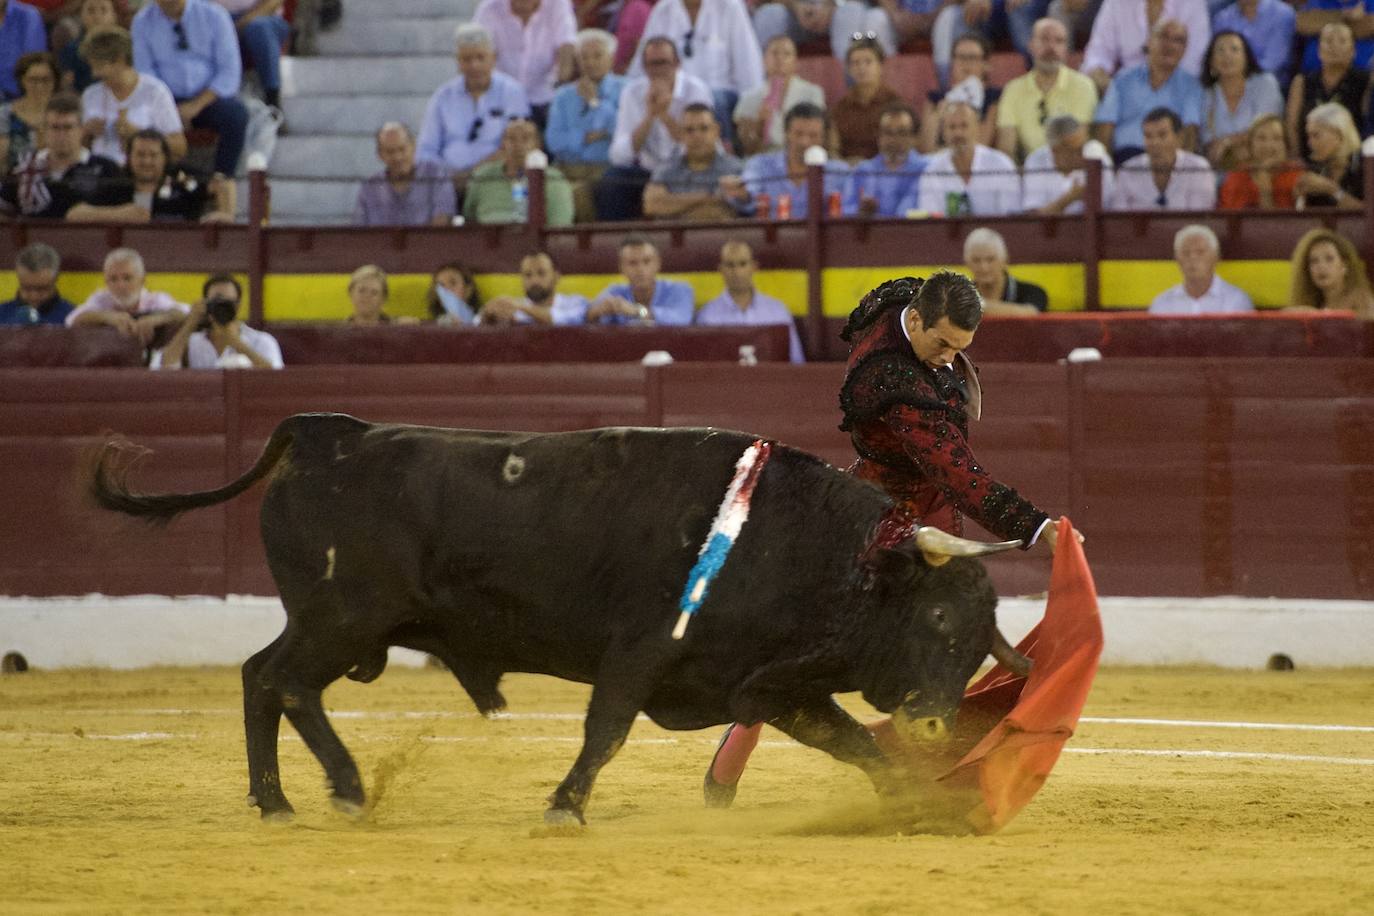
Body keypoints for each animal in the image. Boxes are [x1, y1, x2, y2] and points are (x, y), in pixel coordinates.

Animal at [88, 411, 1033, 829]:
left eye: (977, 642)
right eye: (937, 617)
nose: (937, 721)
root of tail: (329, 434)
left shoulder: (766, 683)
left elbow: (856, 743)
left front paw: (919, 800)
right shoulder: (641, 652)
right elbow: (605, 730)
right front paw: (566, 806)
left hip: (327, 622)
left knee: (262, 678)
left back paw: (280, 800)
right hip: (343, 620)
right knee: (285, 683)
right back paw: (340, 790)